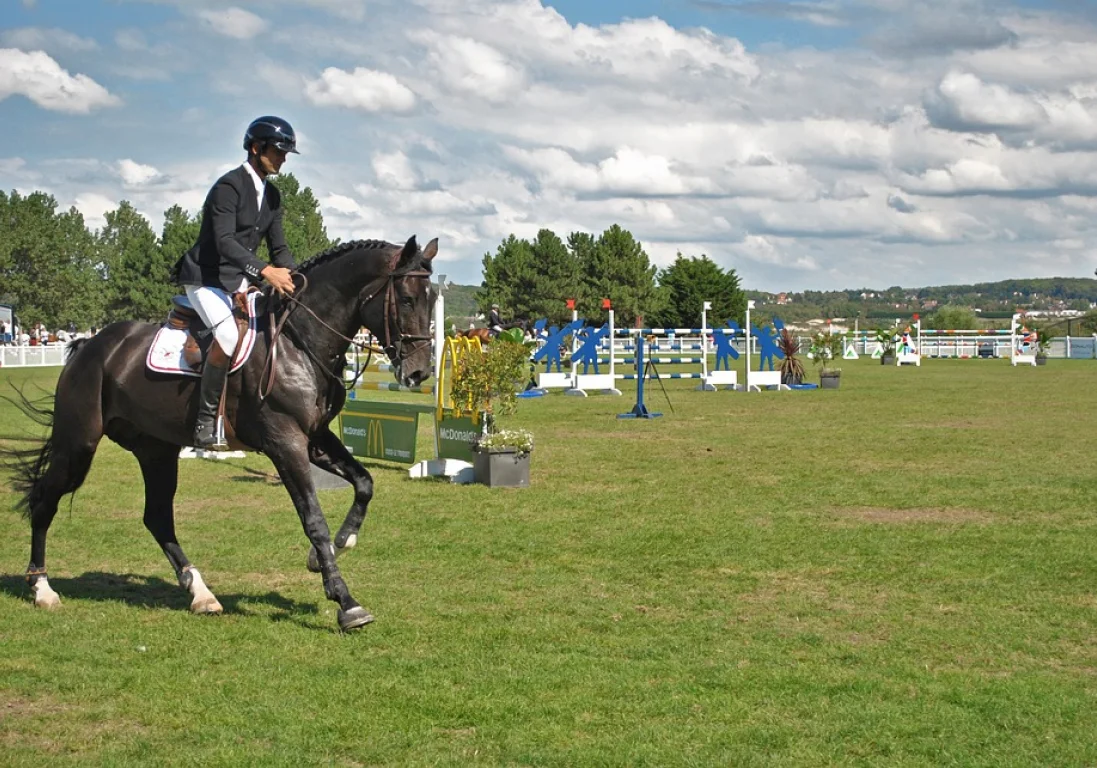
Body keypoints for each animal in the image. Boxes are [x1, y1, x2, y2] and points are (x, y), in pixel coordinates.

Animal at [9, 236, 436, 627]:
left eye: (432, 301)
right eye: (407, 299)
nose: (419, 373)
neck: (299, 340)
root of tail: (88, 346)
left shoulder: (315, 438)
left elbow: (364, 483)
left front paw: (336, 547)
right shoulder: (285, 443)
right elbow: (313, 518)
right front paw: (346, 602)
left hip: (156, 449)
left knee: (157, 517)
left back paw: (201, 593)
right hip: (78, 444)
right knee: (45, 501)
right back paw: (42, 588)